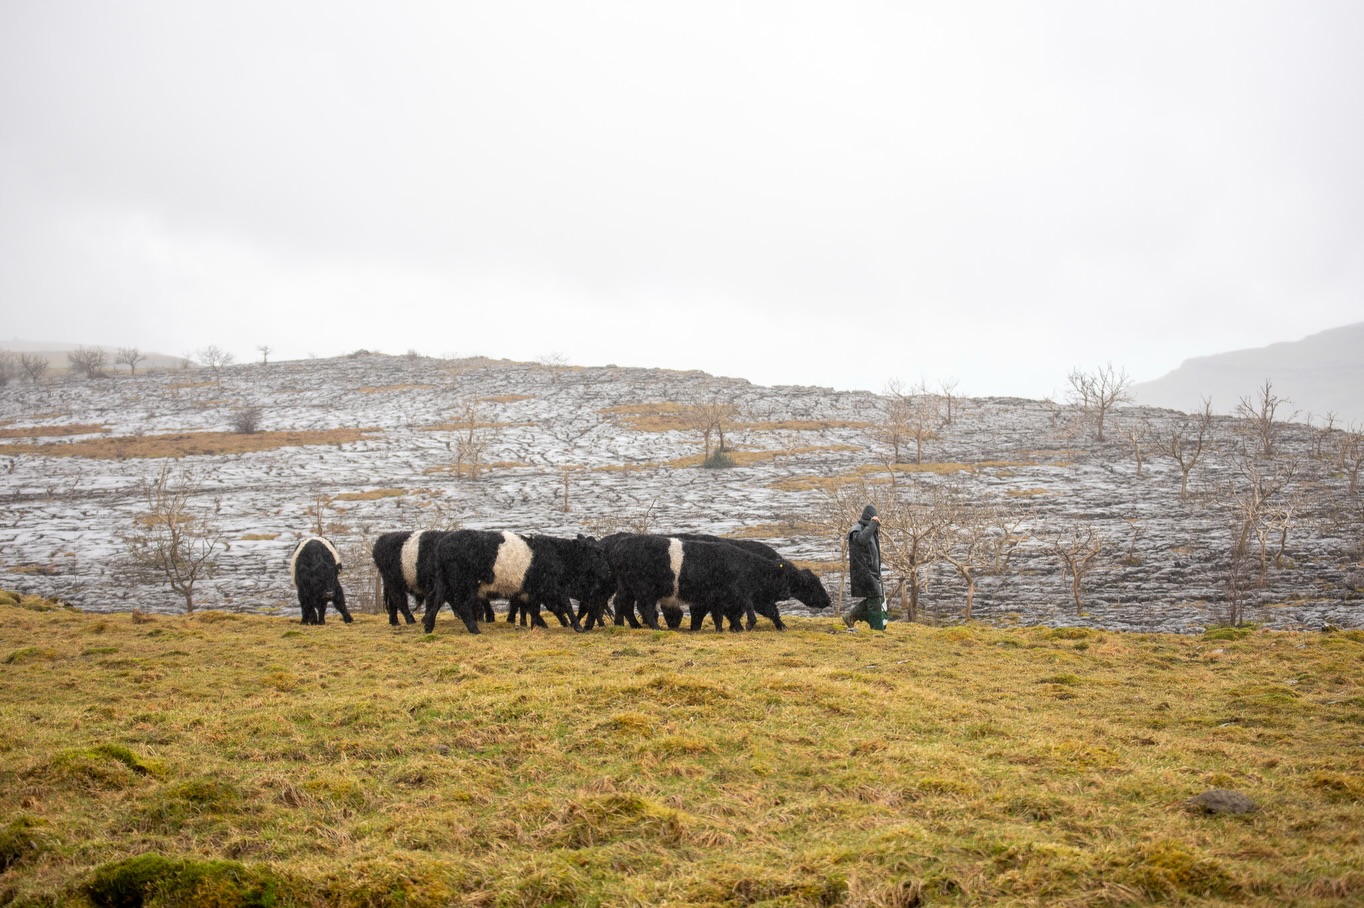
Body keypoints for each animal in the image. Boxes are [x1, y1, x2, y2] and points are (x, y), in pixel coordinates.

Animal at [424, 530, 613, 634]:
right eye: (596, 552)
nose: (608, 570)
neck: (558, 554)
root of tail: (443, 544)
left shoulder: (535, 591)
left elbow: (534, 609)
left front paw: (537, 626)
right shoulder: (553, 587)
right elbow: (565, 606)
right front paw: (577, 627)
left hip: (446, 582)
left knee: (437, 601)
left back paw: (428, 626)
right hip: (464, 584)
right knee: (461, 605)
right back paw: (474, 629)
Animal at [600, 534, 794, 632]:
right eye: (783, 578)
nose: (787, 594)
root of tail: (620, 545)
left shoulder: (714, 598)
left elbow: (716, 615)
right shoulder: (736, 594)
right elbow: (742, 611)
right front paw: (744, 626)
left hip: (627, 587)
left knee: (621, 603)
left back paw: (627, 625)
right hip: (644, 590)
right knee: (644, 608)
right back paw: (655, 627)